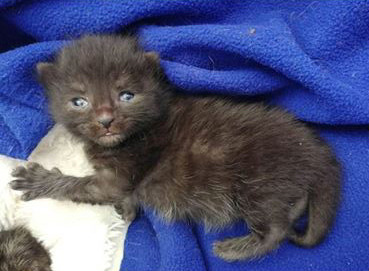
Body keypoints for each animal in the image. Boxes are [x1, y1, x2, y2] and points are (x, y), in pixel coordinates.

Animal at [10, 35, 340, 262]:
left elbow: (82, 186)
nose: (106, 120)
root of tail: (315, 149)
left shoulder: (119, 175)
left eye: (126, 95)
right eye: (79, 101)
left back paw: (235, 249)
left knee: (277, 230)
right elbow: (120, 196)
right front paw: (127, 209)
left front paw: (39, 180)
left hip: (259, 184)